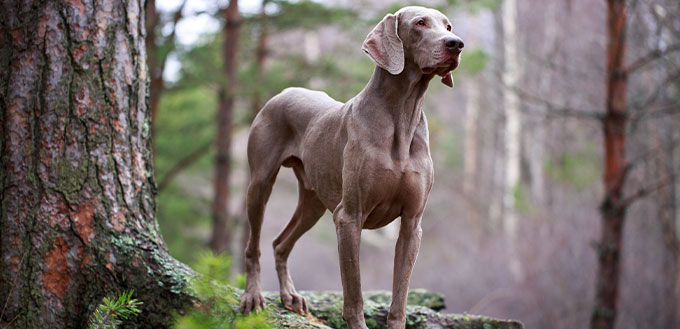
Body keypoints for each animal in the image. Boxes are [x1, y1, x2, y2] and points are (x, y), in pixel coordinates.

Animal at [239, 5, 462, 328]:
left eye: (448, 26)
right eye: (420, 23)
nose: (456, 44)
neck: (402, 115)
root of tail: (283, 92)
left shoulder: (412, 223)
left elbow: (400, 298)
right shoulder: (349, 217)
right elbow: (354, 293)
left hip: (314, 202)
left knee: (280, 243)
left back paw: (290, 296)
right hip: (260, 184)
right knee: (253, 246)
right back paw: (253, 297)